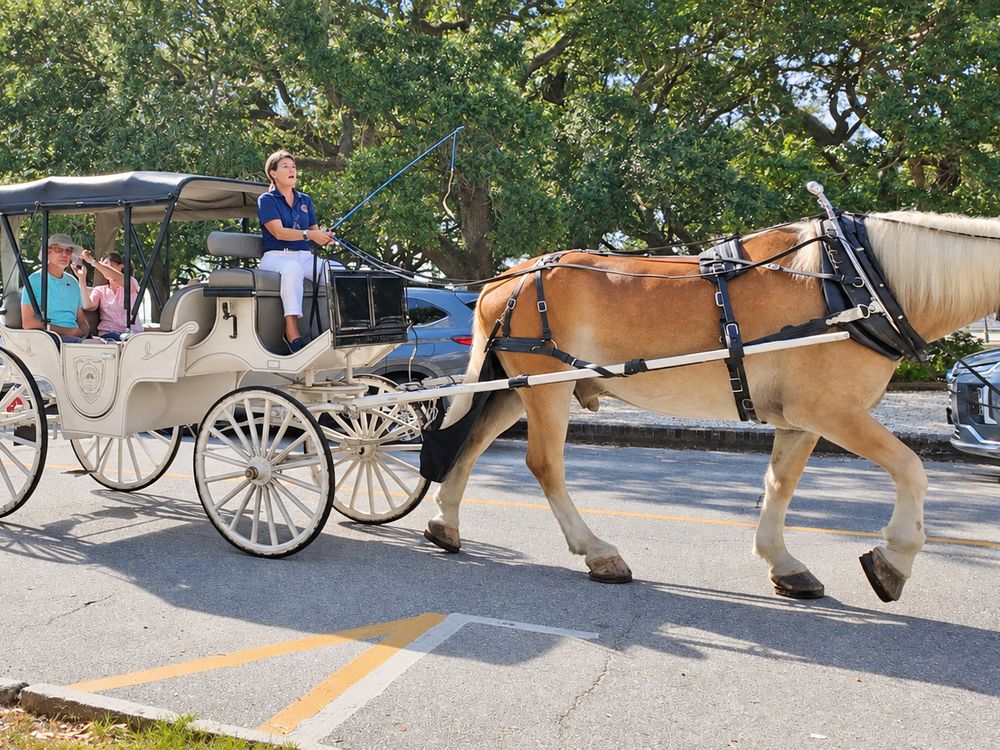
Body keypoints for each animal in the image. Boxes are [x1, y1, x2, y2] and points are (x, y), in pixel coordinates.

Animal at [421, 211, 1000, 602]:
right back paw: (598, 551)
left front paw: (782, 562)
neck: (856, 280)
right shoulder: (832, 409)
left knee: (470, 444)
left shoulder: (800, 420)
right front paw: (893, 560)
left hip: (518, 386)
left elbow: (780, 485)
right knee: (543, 463)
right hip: (546, 387)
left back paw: (445, 523)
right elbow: (911, 468)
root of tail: (504, 281)